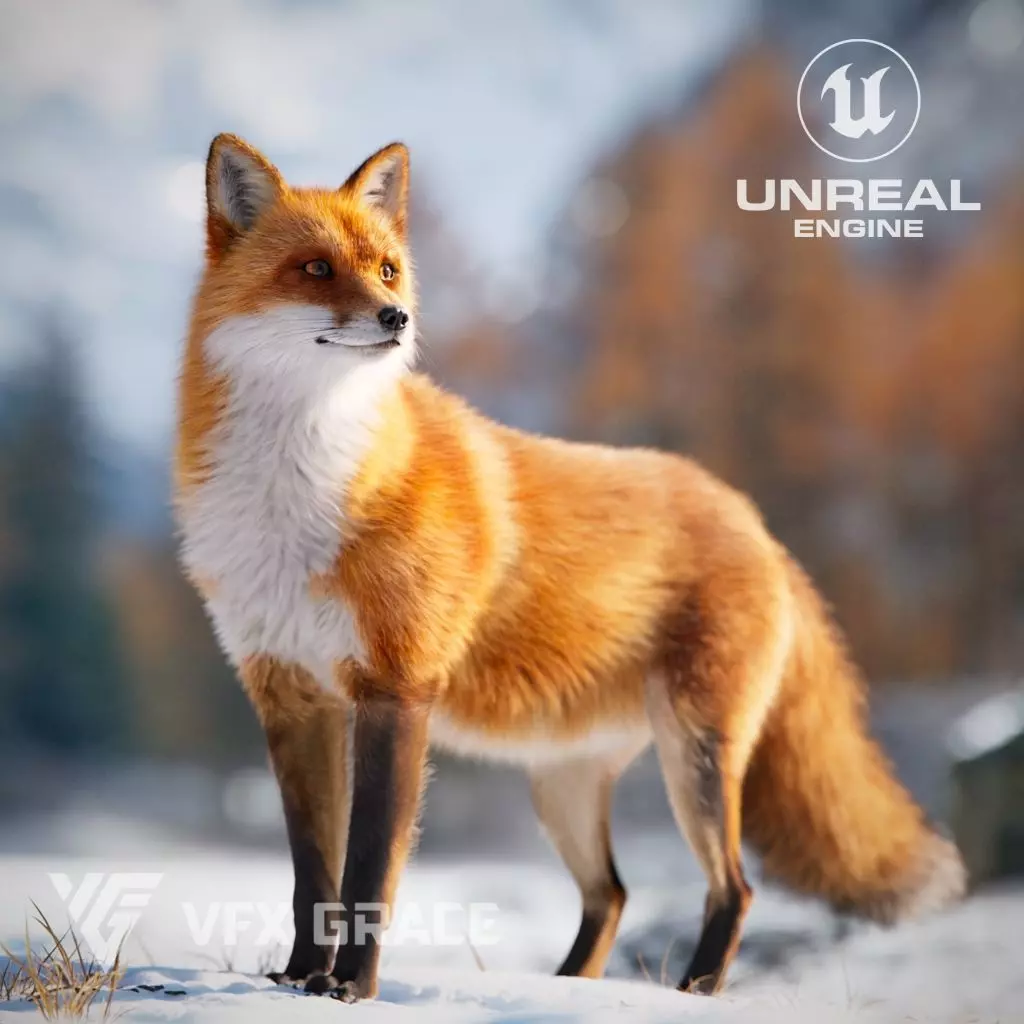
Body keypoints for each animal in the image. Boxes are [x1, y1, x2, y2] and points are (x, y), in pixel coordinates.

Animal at [174, 134, 965, 1002]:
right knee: (611, 894)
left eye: (386, 268)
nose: (397, 317)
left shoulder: (396, 688)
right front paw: (295, 979)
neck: (299, 490)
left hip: (695, 754)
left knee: (733, 887)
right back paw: (569, 988)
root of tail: (753, 519)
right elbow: (311, 873)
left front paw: (350, 988)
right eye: (316, 268)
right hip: (565, 786)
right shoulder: (291, 695)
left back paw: (693, 991)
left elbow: (369, 870)